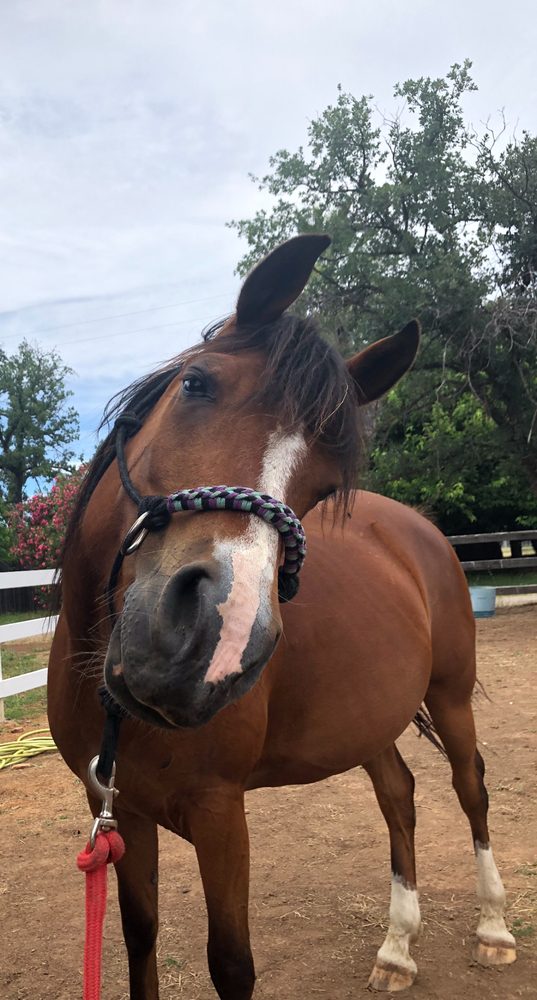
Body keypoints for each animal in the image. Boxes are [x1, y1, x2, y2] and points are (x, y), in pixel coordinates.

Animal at [48, 234, 516, 999]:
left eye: (323, 485)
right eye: (195, 384)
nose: (211, 642)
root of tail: (420, 530)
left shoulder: (219, 814)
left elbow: (232, 965)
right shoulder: (116, 809)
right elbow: (139, 937)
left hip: (448, 695)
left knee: (469, 787)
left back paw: (494, 928)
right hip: (369, 716)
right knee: (399, 794)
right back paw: (397, 947)